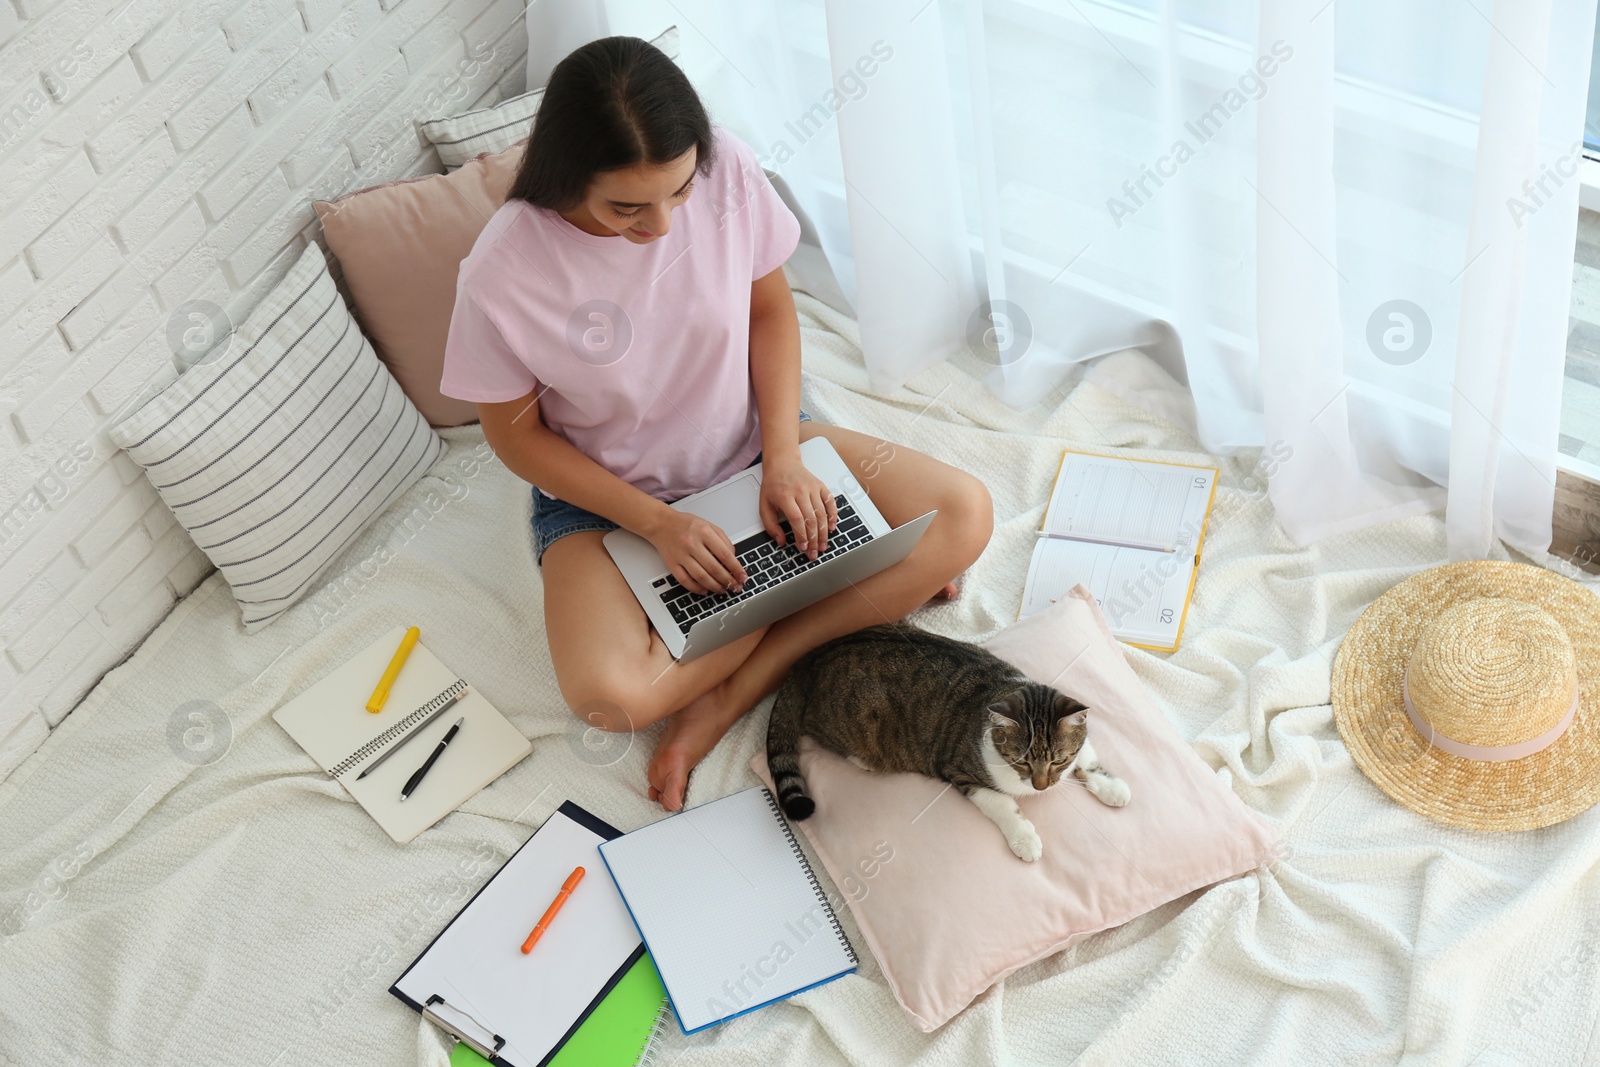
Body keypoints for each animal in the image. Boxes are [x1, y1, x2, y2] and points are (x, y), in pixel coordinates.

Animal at [761, 620, 1126, 863]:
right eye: (1021, 761)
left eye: (1057, 760)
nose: (1041, 787)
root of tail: (810, 658)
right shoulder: (962, 772)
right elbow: (1004, 804)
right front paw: (1025, 838)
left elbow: (1087, 758)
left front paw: (1112, 787)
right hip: (855, 721)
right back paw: (863, 759)